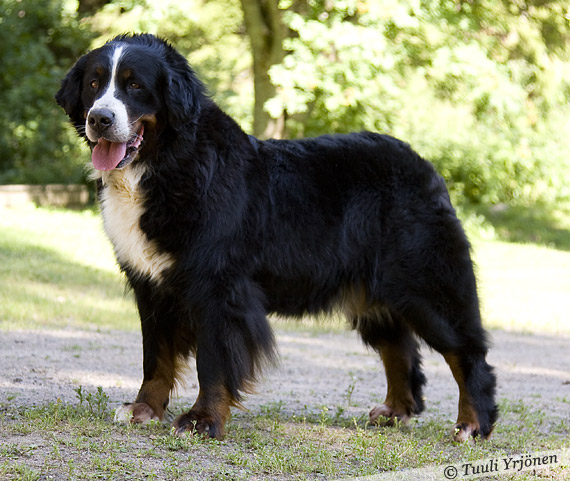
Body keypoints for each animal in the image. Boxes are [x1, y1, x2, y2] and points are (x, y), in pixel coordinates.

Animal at [55, 31, 494, 440]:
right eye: (94, 84)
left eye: (135, 86)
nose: (100, 118)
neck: (163, 165)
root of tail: (426, 166)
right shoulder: (150, 284)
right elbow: (156, 356)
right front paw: (143, 408)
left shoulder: (217, 286)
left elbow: (212, 360)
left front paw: (203, 420)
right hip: (372, 292)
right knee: (399, 349)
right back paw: (394, 412)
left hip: (427, 285)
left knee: (467, 352)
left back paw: (472, 423)